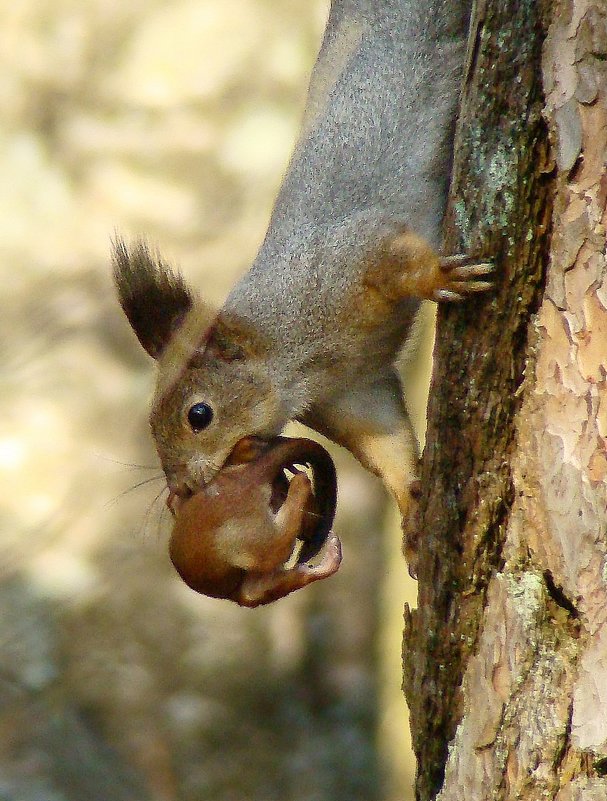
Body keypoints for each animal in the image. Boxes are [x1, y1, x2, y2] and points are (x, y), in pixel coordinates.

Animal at [115, 0, 494, 572]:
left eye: (199, 415)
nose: (180, 492)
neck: (293, 354)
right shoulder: (352, 396)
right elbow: (386, 446)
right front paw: (411, 509)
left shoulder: (346, 258)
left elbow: (397, 261)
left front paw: (442, 276)